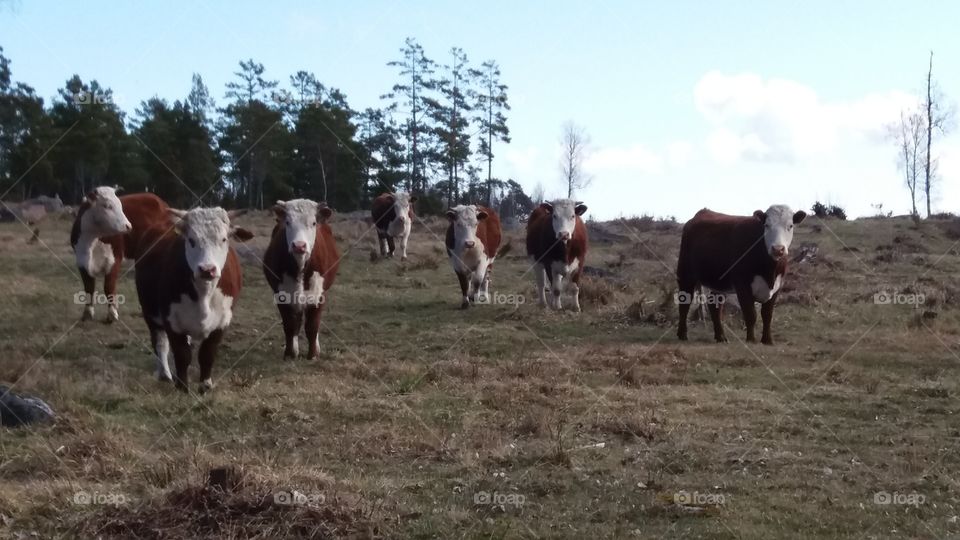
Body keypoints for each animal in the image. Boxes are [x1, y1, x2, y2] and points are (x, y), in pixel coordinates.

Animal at [70, 189, 170, 322]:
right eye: (107, 206)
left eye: (120, 206)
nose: (128, 226)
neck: (92, 240)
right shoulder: (82, 261)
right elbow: (89, 288)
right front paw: (87, 313)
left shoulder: (114, 259)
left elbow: (109, 287)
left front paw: (112, 314)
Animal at [134, 207, 252, 393]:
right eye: (191, 240)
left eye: (224, 239)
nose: (207, 269)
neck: (204, 292)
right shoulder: (171, 320)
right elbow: (182, 354)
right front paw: (182, 386)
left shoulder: (222, 321)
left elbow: (207, 353)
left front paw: (205, 384)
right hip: (150, 313)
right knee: (160, 343)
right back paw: (164, 373)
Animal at [263, 199, 340, 360]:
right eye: (287, 222)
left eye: (313, 223)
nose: (299, 245)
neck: (300, 265)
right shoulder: (282, 294)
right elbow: (289, 325)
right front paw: (290, 353)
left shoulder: (319, 295)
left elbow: (312, 326)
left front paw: (312, 354)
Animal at [676, 205, 806, 345]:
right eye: (767, 225)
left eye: (790, 226)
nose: (778, 249)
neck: (769, 270)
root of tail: (701, 213)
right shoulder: (742, 285)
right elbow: (751, 314)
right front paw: (751, 340)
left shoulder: (777, 286)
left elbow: (767, 315)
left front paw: (767, 340)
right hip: (685, 274)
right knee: (684, 303)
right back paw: (682, 334)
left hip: (719, 282)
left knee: (715, 306)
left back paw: (721, 337)